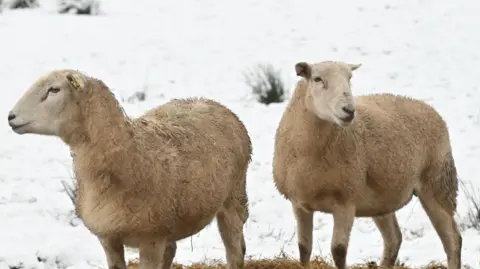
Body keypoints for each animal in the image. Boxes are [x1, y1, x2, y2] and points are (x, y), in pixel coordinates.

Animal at [8, 70, 251, 268]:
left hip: (234, 199)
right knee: (172, 251)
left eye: (54, 89)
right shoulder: (109, 239)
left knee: (235, 251)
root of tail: (209, 102)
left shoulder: (151, 240)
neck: (128, 156)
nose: (10, 117)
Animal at [272, 60, 464, 268]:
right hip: (382, 198)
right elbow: (304, 249)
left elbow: (338, 251)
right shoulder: (299, 203)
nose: (349, 110)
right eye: (317, 79)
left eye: (349, 78)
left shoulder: (345, 202)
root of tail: (428, 107)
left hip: (438, 184)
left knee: (453, 240)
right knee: (394, 239)